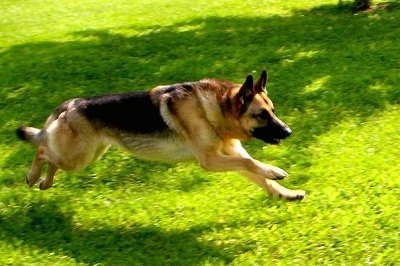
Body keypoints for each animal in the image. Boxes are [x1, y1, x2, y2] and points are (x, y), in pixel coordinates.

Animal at [14, 70, 306, 200]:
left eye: (273, 111)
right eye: (262, 115)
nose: (289, 132)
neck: (211, 109)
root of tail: (70, 104)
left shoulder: (229, 156)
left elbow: (256, 171)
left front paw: (285, 193)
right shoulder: (211, 161)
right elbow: (251, 163)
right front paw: (275, 171)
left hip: (87, 156)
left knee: (49, 155)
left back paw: (44, 183)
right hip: (78, 157)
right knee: (42, 150)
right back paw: (32, 177)